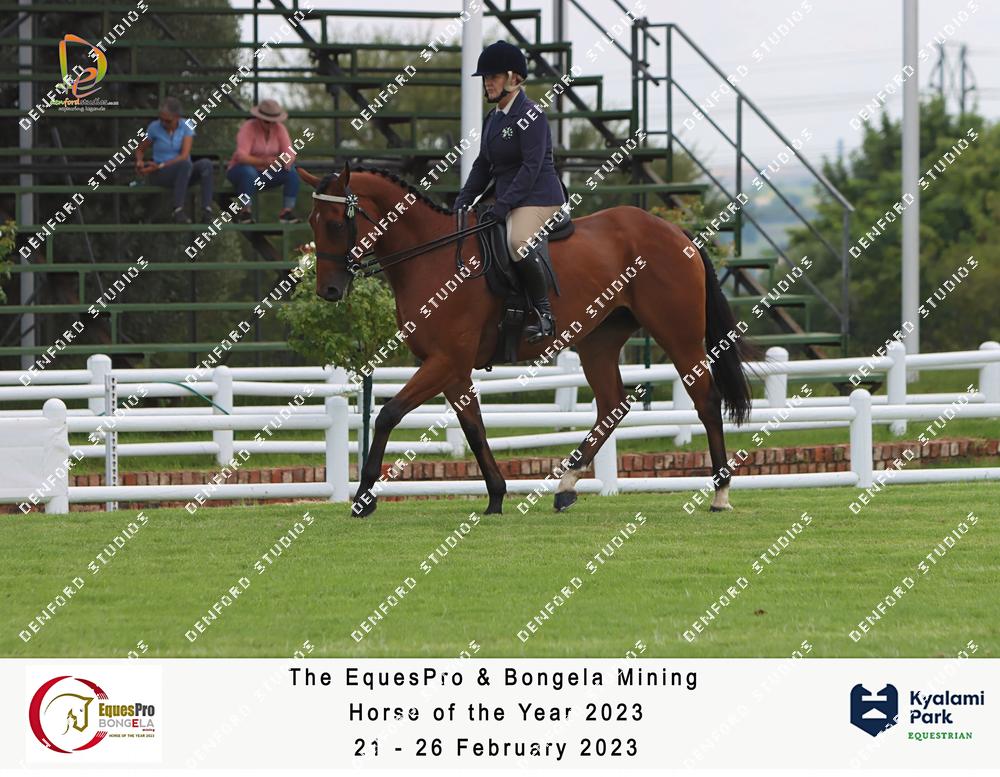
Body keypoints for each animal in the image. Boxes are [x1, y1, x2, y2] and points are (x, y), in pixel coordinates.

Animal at [296, 162, 754, 517]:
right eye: (312, 223)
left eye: (336, 223)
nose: (328, 291)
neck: (432, 256)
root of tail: (678, 234)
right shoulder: (453, 368)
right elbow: (474, 428)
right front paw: (496, 497)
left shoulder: (444, 360)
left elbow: (389, 414)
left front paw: (364, 498)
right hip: (598, 341)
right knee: (612, 405)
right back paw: (566, 486)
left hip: (679, 335)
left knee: (705, 400)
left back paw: (720, 494)